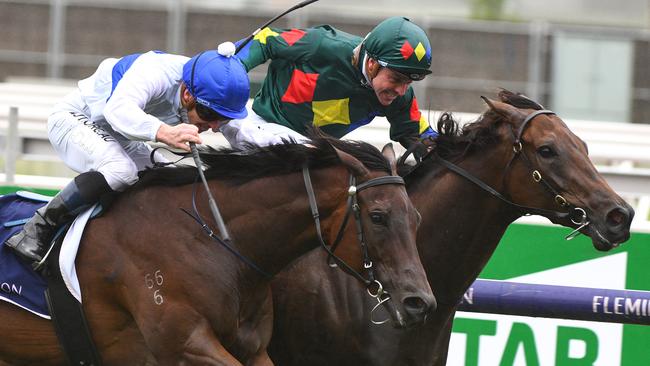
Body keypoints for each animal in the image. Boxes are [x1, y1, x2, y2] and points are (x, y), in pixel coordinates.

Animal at [0, 135, 436, 366]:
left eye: (416, 217)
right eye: (378, 216)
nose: (421, 303)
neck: (211, 241)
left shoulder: (255, 350)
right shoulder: (185, 347)